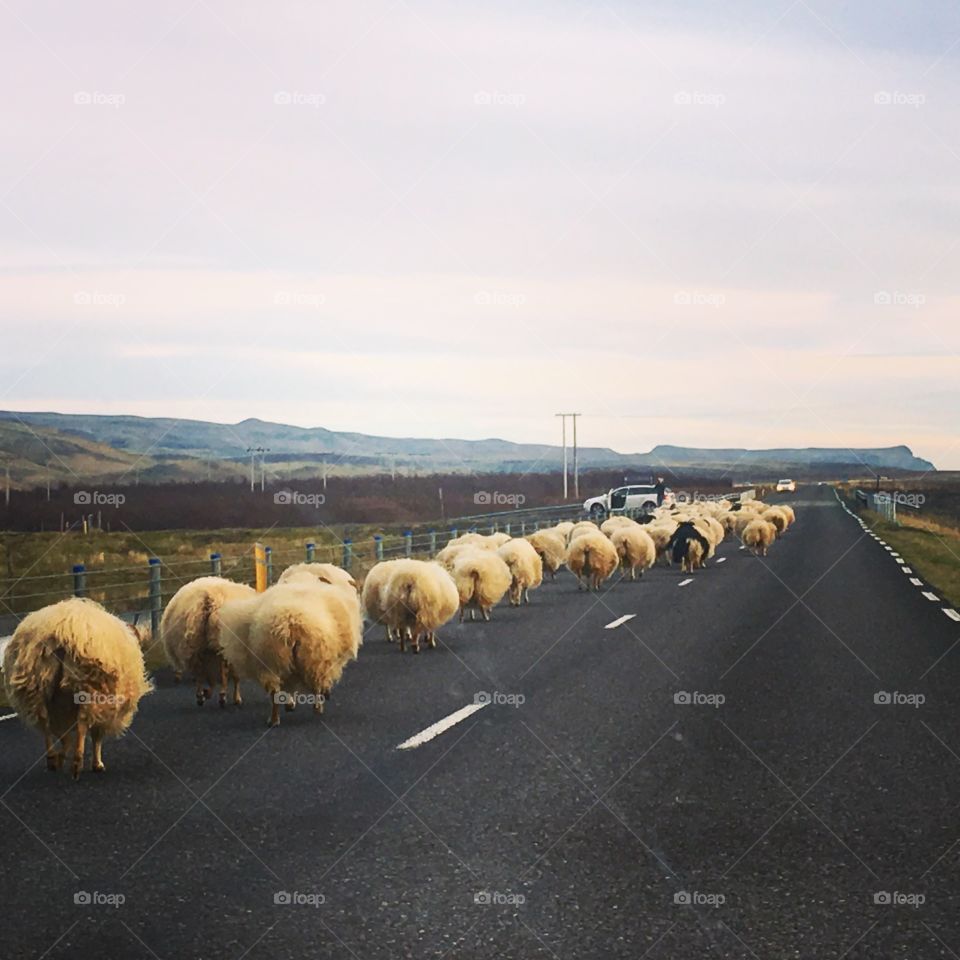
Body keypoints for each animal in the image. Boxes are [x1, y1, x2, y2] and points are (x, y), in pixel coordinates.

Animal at [3, 600, 153, 780]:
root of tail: (61, 633)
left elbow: (65, 734)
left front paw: (64, 757)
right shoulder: (104, 707)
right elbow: (96, 736)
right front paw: (97, 764)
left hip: (35, 687)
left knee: (45, 721)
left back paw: (53, 759)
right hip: (89, 688)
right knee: (82, 724)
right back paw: (76, 763)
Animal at [162, 576, 258, 704]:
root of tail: (210, 599)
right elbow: (234, 676)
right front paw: (236, 698)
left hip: (195, 645)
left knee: (200, 671)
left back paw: (201, 695)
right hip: (220, 645)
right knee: (221, 670)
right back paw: (221, 695)